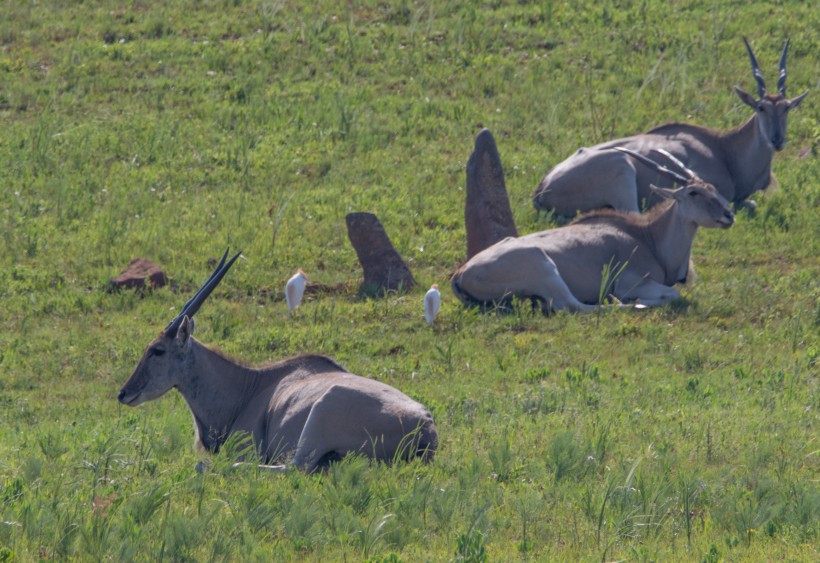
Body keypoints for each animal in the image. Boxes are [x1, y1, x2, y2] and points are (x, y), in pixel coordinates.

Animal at [452, 150, 732, 312]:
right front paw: (635, 300)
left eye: (714, 189)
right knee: (572, 306)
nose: (728, 215)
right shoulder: (631, 282)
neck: (648, 237)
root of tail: (460, 274)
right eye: (693, 192)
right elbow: (672, 294)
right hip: (542, 266)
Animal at [532, 37, 808, 217]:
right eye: (761, 108)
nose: (777, 140)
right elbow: (746, 203)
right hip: (621, 167)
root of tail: (542, 189)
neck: (724, 149)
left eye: (786, 108)